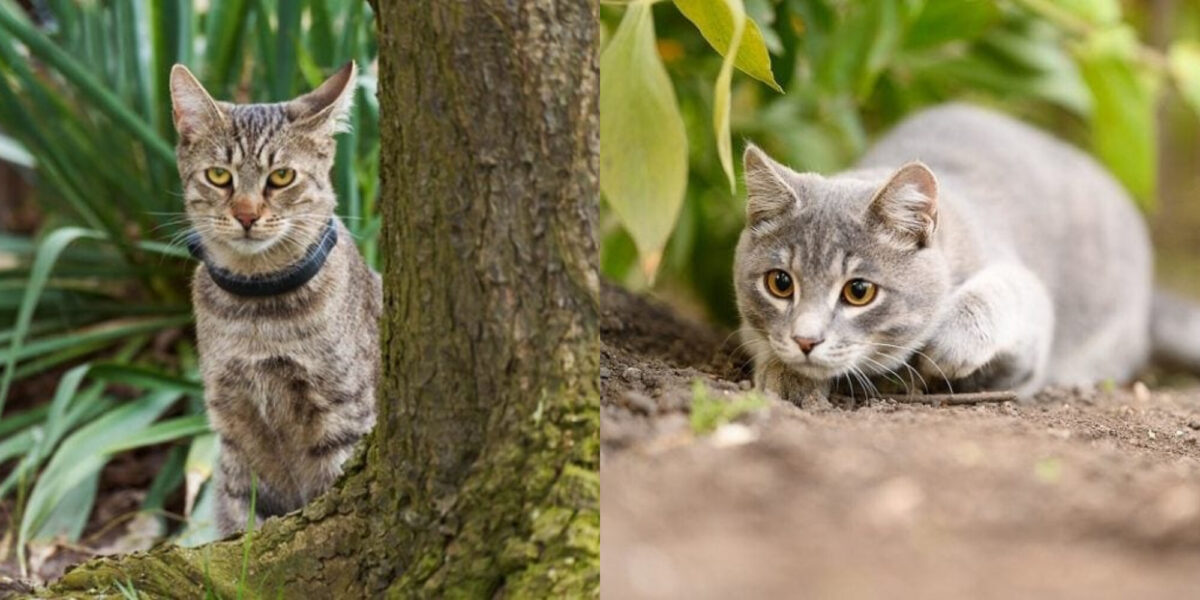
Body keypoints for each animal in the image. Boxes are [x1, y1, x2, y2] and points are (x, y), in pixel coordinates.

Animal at [170, 62, 379, 535]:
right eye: (219, 176)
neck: (257, 310)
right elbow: (242, 515)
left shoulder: (344, 417)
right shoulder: (233, 426)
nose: (246, 215)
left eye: (281, 177)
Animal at [734, 103, 1200, 403]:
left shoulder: (1024, 303)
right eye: (780, 283)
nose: (805, 340)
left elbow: (999, 295)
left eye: (859, 291)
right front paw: (785, 372)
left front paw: (947, 346)